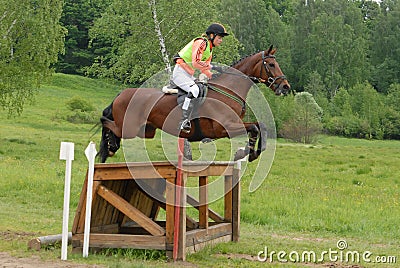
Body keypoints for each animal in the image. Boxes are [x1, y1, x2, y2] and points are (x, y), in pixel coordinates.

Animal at [98, 45, 290, 162]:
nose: (286, 87)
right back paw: (110, 147)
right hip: (129, 127)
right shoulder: (223, 127)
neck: (229, 90)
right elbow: (255, 128)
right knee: (107, 123)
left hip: (146, 130)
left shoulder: (235, 123)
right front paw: (246, 153)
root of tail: (121, 94)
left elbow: (260, 126)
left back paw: (109, 149)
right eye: (271, 64)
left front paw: (251, 153)